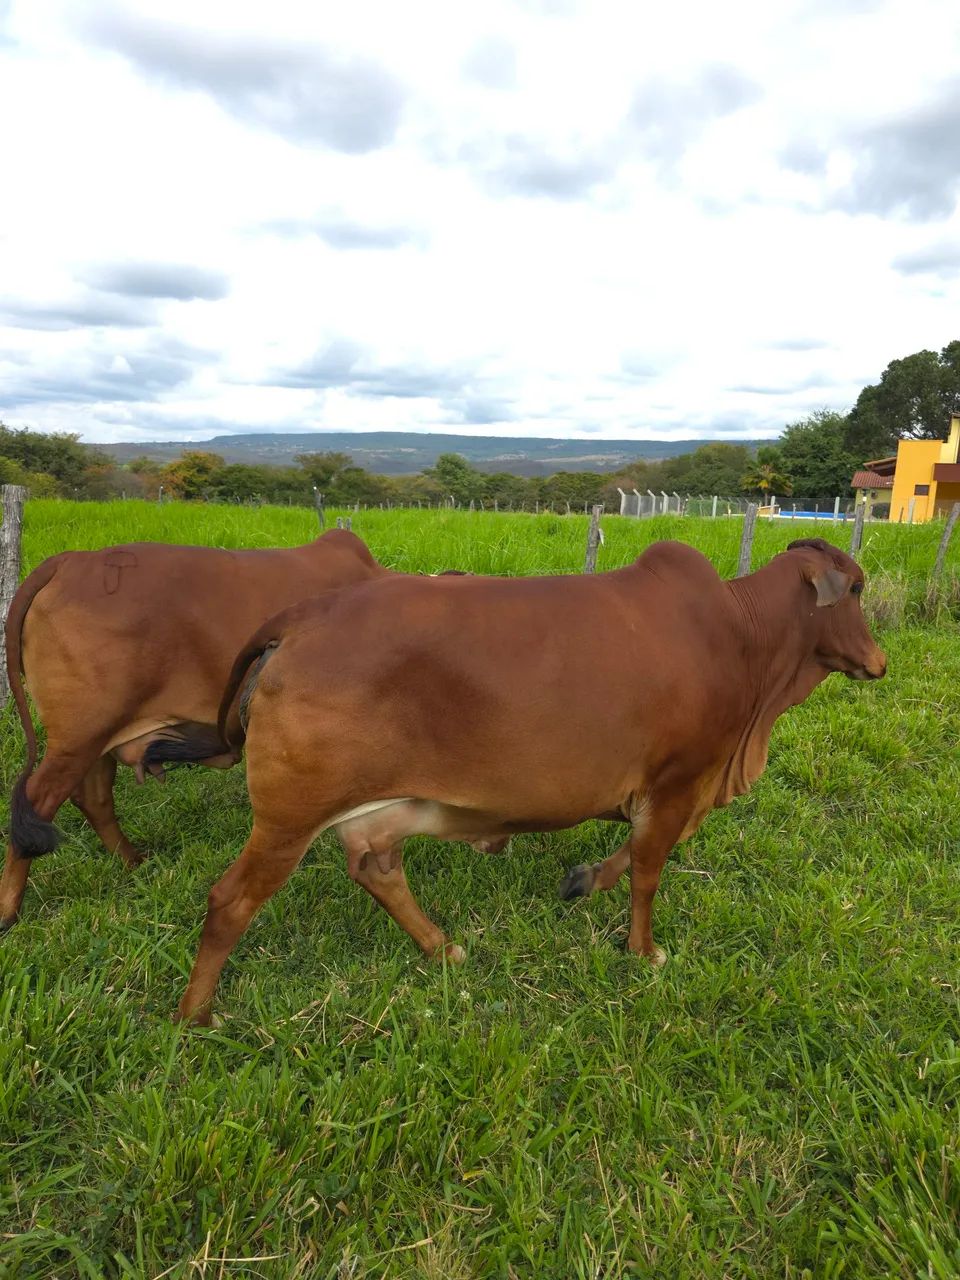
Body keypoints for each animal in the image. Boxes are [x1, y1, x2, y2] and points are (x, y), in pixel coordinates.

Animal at [0, 528, 399, 929]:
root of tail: (72, 559)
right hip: (80, 737)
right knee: (38, 802)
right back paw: (8, 908)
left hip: (95, 738)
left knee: (93, 798)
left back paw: (134, 863)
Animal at [172, 536, 886, 1025]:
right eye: (855, 589)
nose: (879, 661)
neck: (744, 637)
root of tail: (296, 619)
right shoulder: (678, 781)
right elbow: (649, 869)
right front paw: (645, 952)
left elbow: (634, 857)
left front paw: (583, 881)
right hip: (289, 817)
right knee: (230, 900)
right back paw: (195, 1015)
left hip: (381, 806)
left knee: (376, 868)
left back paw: (443, 949)